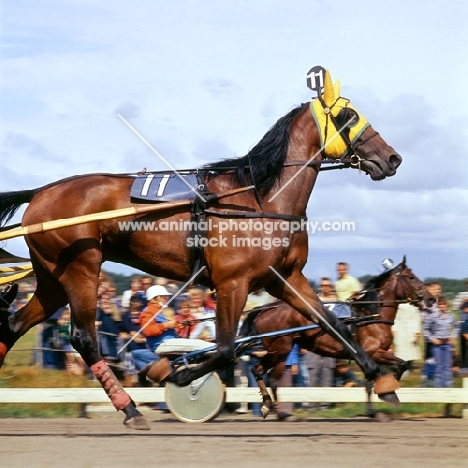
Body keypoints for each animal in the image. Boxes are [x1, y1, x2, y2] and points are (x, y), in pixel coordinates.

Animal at [0, 71, 402, 430]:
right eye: (349, 116)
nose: (392, 158)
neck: (259, 196)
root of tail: (41, 193)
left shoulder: (284, 278)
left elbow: (334, 324)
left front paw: (381, 377)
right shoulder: (232, 283)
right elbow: (224, 349)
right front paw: (177, 375)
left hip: (53, 277)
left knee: (15, 324)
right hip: (81, 268)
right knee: (83, 337)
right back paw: (130, 409)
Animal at [239, 258, 434, 418]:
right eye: (411, 277)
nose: (431, 299)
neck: (371, 315)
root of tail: (264, 309)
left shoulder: (371, 355)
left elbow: (378, 378)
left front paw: (375, 406)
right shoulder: (373, 352)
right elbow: (396, 366)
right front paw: (387, 392)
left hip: (280, 351)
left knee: (263, 374)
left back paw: (270, 407)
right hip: (280, 349)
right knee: (267, 376)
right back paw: (278, 412)